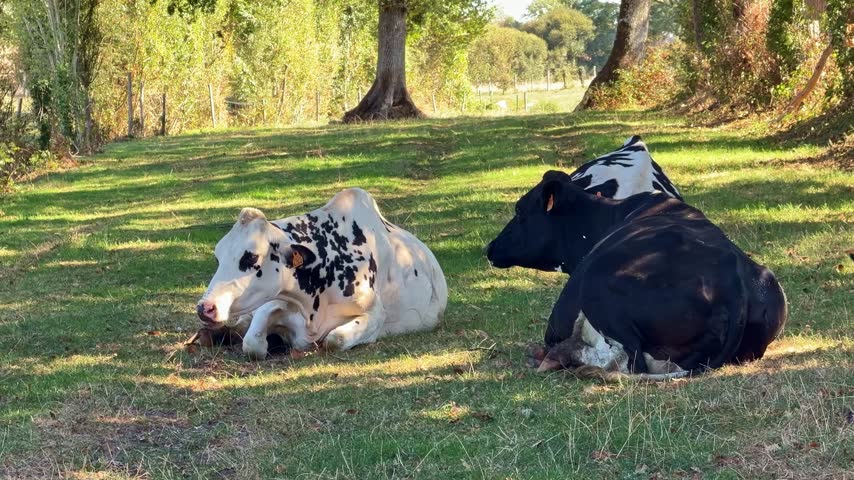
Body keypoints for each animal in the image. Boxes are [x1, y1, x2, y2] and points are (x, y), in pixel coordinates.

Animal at [197, 188, 448, 359]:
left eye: (251, 257)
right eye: (218, 257)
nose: (205, 308)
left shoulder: (376, 313)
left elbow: (335, 339)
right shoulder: (272, 303)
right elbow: (252, 343)